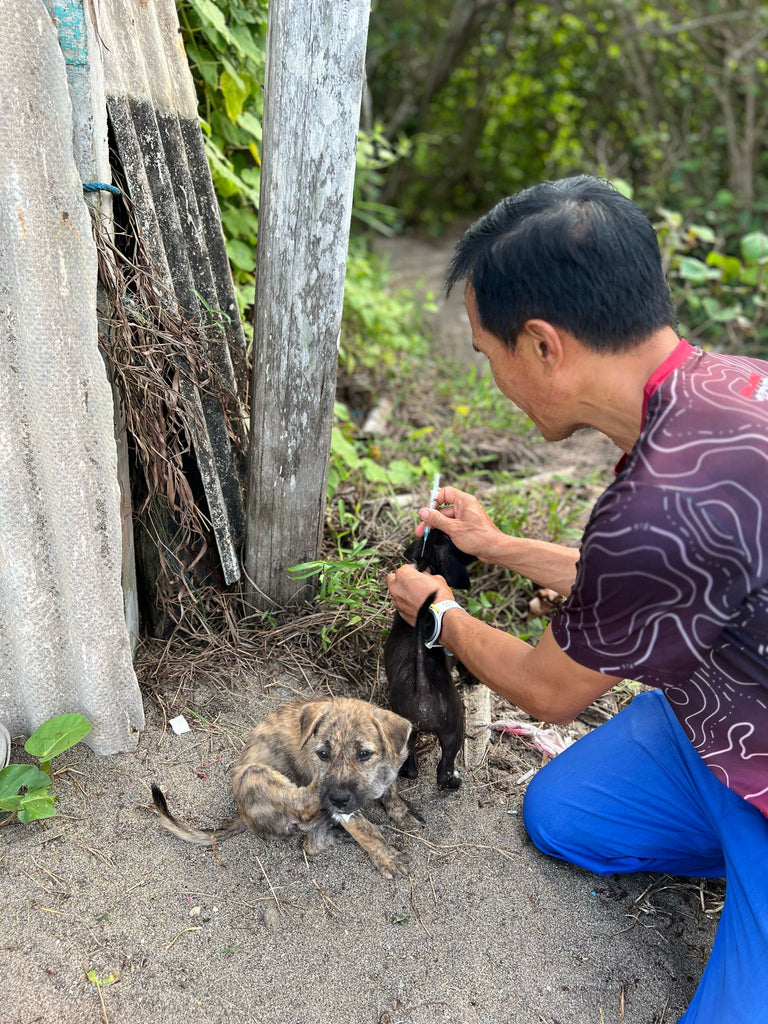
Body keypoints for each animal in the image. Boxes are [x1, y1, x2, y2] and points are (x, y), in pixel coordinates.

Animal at [149, 696, 415, 880]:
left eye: (364, 754)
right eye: (323, 754)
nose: (337, 798)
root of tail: (241, 815)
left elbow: (392, 793)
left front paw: (403, 815)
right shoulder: (344, 809)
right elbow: (366, 831)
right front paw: (387, 858)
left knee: (312, 844)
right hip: (254, 774)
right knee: (304, 810)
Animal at [385, 528, 475, 790]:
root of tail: (422, 686)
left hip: (408, 735)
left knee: (412, 769)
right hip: (454, 730)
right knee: (443, 770)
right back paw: (454, 781)